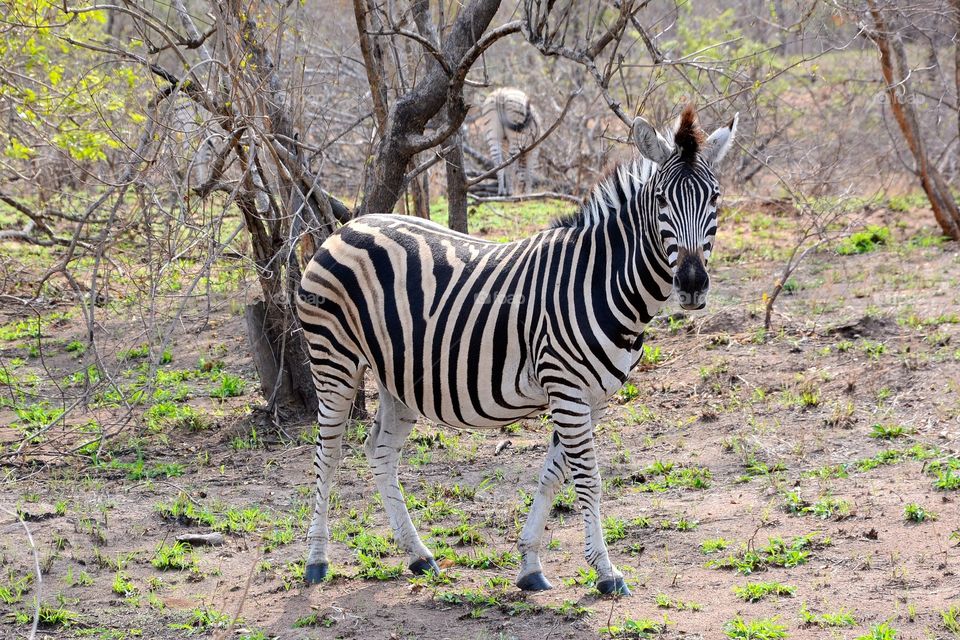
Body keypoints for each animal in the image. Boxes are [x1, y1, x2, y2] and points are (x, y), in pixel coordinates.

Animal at [296, 104, 737, 595]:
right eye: (661, 200)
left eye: (715, 198)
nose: (693, 284)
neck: (602, 281)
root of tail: (350, 225)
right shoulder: (566, 388)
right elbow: (588, 480)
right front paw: (606, 573)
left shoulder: (590, 397)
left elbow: (553, 475)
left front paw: (530, 565)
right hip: (333, 359)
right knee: (328, 454)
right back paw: (316, 562)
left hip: (398, 373)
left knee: (379, 451)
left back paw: (419, 556)